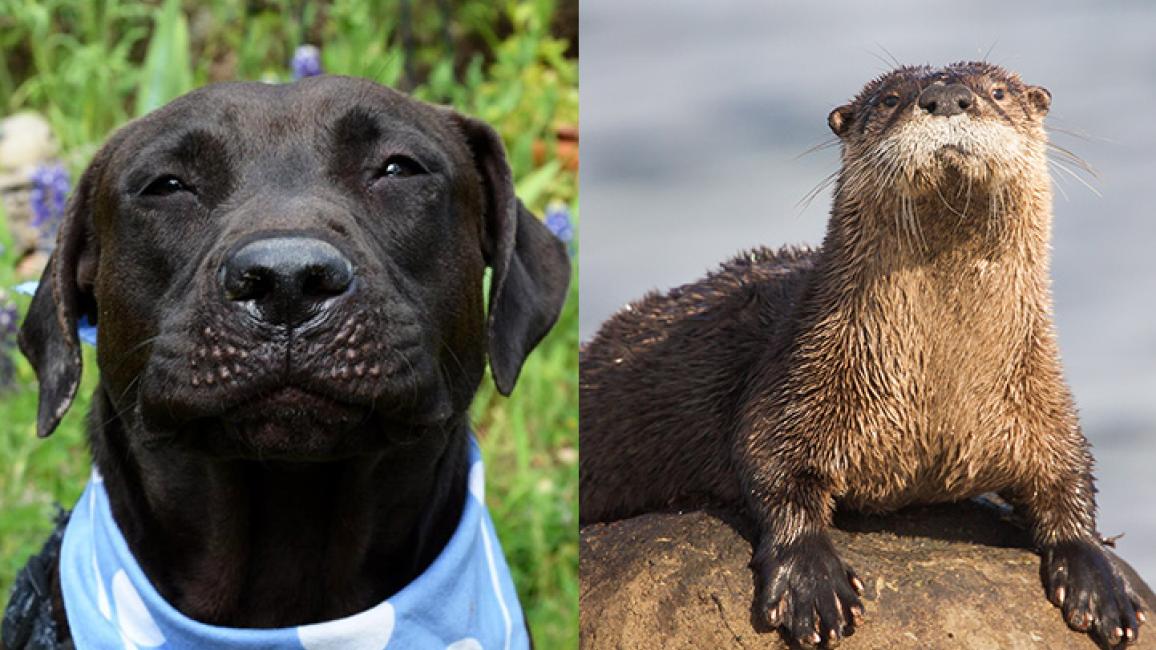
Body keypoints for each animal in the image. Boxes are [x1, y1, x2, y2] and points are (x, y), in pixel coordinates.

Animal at [580, 62, 1147, 647]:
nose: (947, 96)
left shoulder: (1039, 396)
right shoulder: (798, 377)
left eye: (997, 92)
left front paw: (1099, 575)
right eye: (891, 98)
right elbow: (769, 467)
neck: (937, 395)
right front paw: (811, 581)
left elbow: (1071, 476)